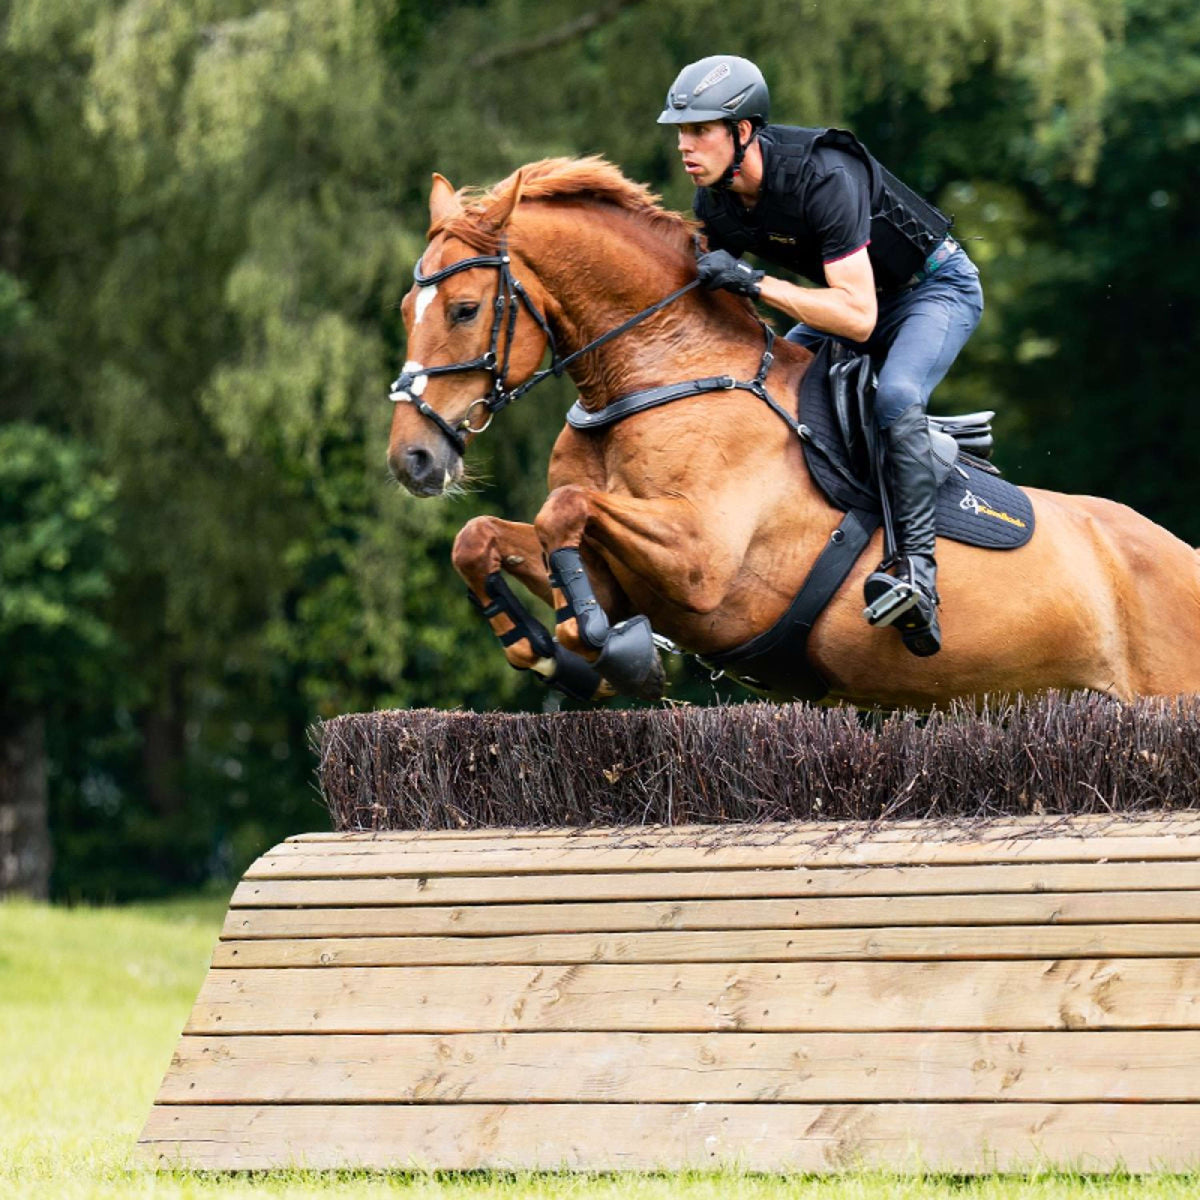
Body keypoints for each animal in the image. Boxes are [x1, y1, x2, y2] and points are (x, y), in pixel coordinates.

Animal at [386, 154, 1200, 705]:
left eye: (463, 309)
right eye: (405, 310)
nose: (411, 460)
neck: (659, 373)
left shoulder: (700, 561)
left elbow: (566, 509)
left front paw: (614, 655)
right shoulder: (622, 570)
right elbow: (481, 538)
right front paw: (556, 652)